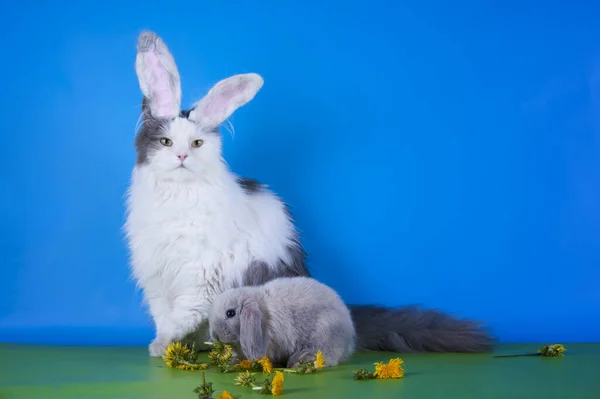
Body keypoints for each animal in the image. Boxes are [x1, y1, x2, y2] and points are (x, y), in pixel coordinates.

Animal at [125, 30, 492, 356]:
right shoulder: (156, 275)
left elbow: (180, 317)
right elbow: (164, 316)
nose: (181, 156)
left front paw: (161, 346)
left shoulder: (200, 278)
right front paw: (164, 349)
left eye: (197, 143)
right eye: (166, 142)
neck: (177, 197)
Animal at [209, 278, 356, 368]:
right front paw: (235, 362)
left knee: (325, 356)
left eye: (230, 313)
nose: (215, 335)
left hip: (325, 331)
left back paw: (299, 361)